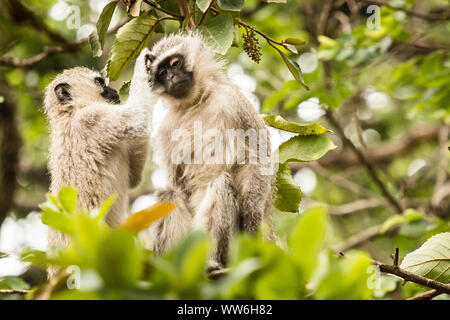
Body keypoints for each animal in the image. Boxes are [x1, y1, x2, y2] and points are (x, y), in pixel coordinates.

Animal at [139, 33, 274, 270]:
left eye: (175, 63)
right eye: (161, 73)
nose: (171, 77)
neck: (196, 102)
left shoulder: (234, 101)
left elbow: (259, 160)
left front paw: (252, 222)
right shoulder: (165, 128)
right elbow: (177, 184)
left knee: (220, 184)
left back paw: (212, 263)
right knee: (170, 194)